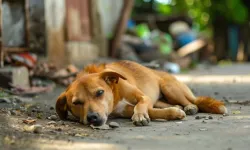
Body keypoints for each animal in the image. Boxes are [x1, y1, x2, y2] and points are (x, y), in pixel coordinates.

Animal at [55, 60, 228, 126]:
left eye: (99, 92)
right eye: (76, 103)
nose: (92, 118)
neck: (115, 94)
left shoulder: (142, 97)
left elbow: (141, 105)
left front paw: (139, 115)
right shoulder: (124, 110)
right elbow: (152, 111)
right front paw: (173, 113)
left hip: (170, 87)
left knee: (192, 101)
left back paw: (190, 107)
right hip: (160, 99)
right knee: (166, 104)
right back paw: (179, 107)